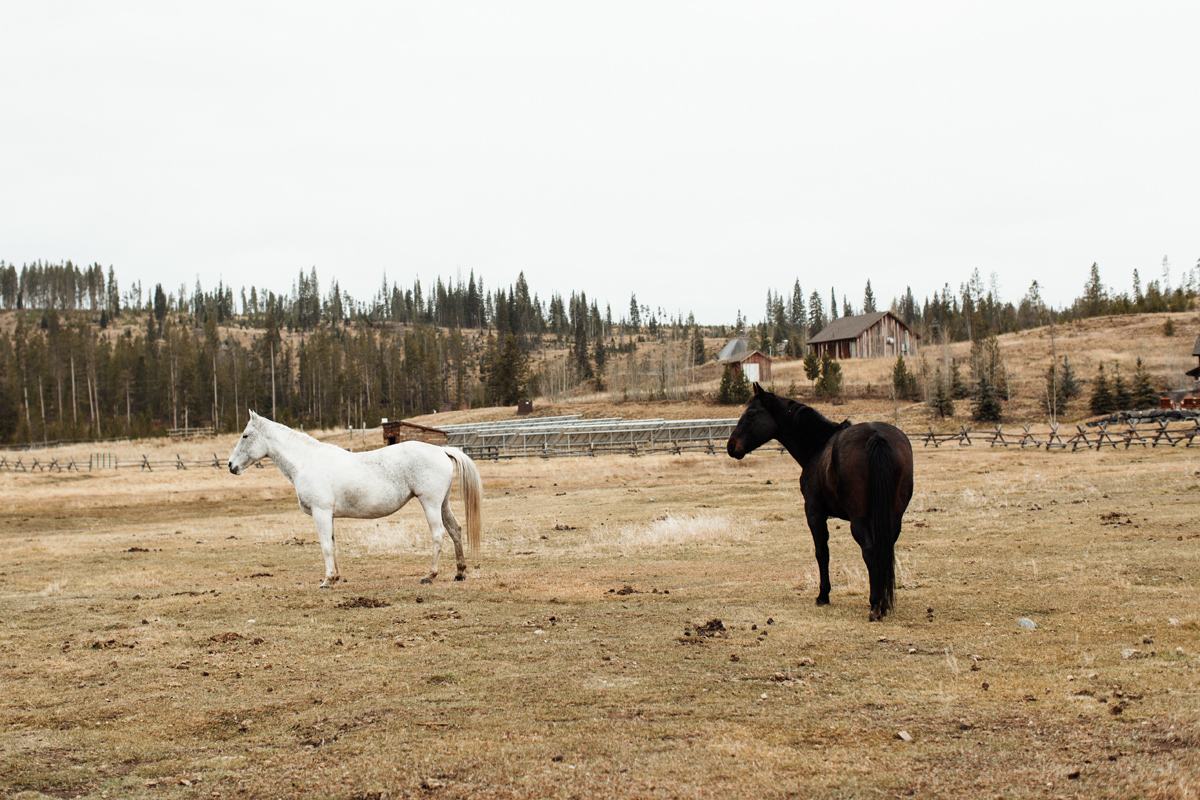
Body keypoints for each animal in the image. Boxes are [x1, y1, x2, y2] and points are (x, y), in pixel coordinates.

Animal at [226, 412, 480, 587]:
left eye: (245, 435)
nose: (230, 465)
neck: (308, 461)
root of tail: (441, 451)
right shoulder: (328, 515)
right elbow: (333, 545)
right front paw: (335, 577)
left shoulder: (321, 512)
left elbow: (325, 546)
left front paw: (327, 580)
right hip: (442, 503)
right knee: (455, 530)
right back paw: (460, 572)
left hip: (430, 503)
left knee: (438, 535)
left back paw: (429, 575)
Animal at [724, 383, 912, 623]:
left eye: (751, 414)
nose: (731, 446)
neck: (819, 445)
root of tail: (875, 435)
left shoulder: (814, 513)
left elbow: (822, 552)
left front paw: (823, 595)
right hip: (893, 517)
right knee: (884, 550)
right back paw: (884, 604)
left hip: (859, 520)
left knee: (870, 552)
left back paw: (875, 606)